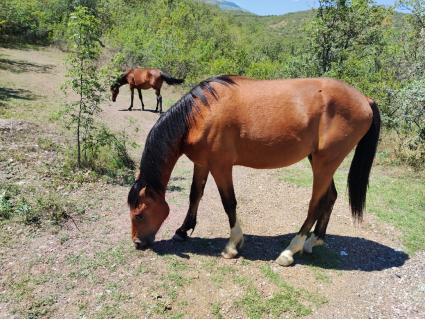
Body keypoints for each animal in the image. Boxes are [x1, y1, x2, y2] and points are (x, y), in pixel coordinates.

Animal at [127, 75, 380, 268]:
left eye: (139, 214)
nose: (138, 243)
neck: (200, 114)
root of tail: (365, 100)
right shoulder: (202, 163)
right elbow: (195, 194)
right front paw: (182, 230)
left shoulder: (221, 166)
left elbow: (229, 203)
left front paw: (232, 245)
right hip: (320, 160)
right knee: (330, 197)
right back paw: (314, 241)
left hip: (324, 163)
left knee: (315, 204)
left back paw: (290, 251)